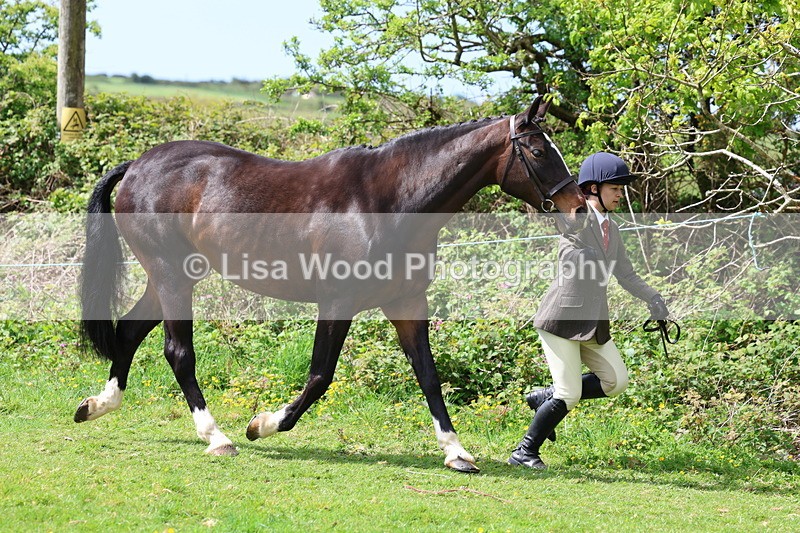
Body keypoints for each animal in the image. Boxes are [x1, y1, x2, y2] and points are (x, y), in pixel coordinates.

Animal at [76, 95, 587, 473]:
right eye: (539, 151)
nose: (580, 209)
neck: (388, 201)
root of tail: (138, 165)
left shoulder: (406, 303)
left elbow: (428, 375)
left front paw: (456, 452)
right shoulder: (338, 302)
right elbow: (321, 375)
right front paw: (262, 424)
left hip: (173, 276)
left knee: (128, 330)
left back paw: (97, 405)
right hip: (172, 275)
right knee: (178, 352)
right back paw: (217, 436)